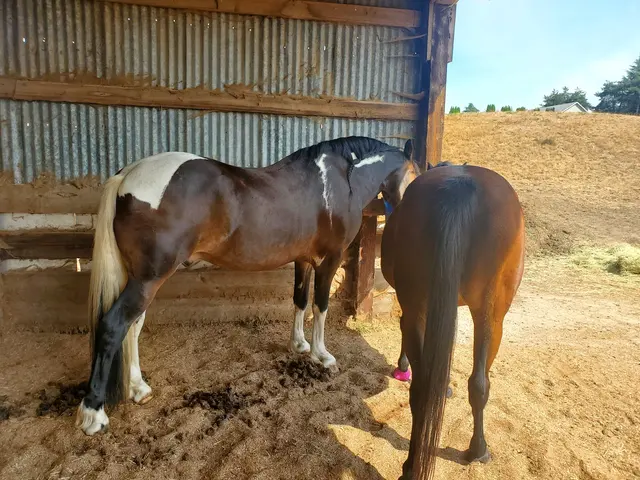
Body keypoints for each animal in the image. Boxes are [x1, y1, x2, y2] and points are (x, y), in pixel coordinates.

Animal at [76, 136, 420, 435]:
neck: (341, 181)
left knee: (132, 328)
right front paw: (322, 355)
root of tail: (128, 175)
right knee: (114, 326)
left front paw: (299, 345)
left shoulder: (303, 260)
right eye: (416, 174)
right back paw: (94, 414)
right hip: (148, 279)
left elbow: (300, 300)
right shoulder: (329, 260)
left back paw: (138, 388)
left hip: (140, 279)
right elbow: (320, 306)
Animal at [380, 162, 525, 479]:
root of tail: (459, 187)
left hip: (431, 310)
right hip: (491, 316)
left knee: (435, 386)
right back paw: (476, 450)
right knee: (476, 383)